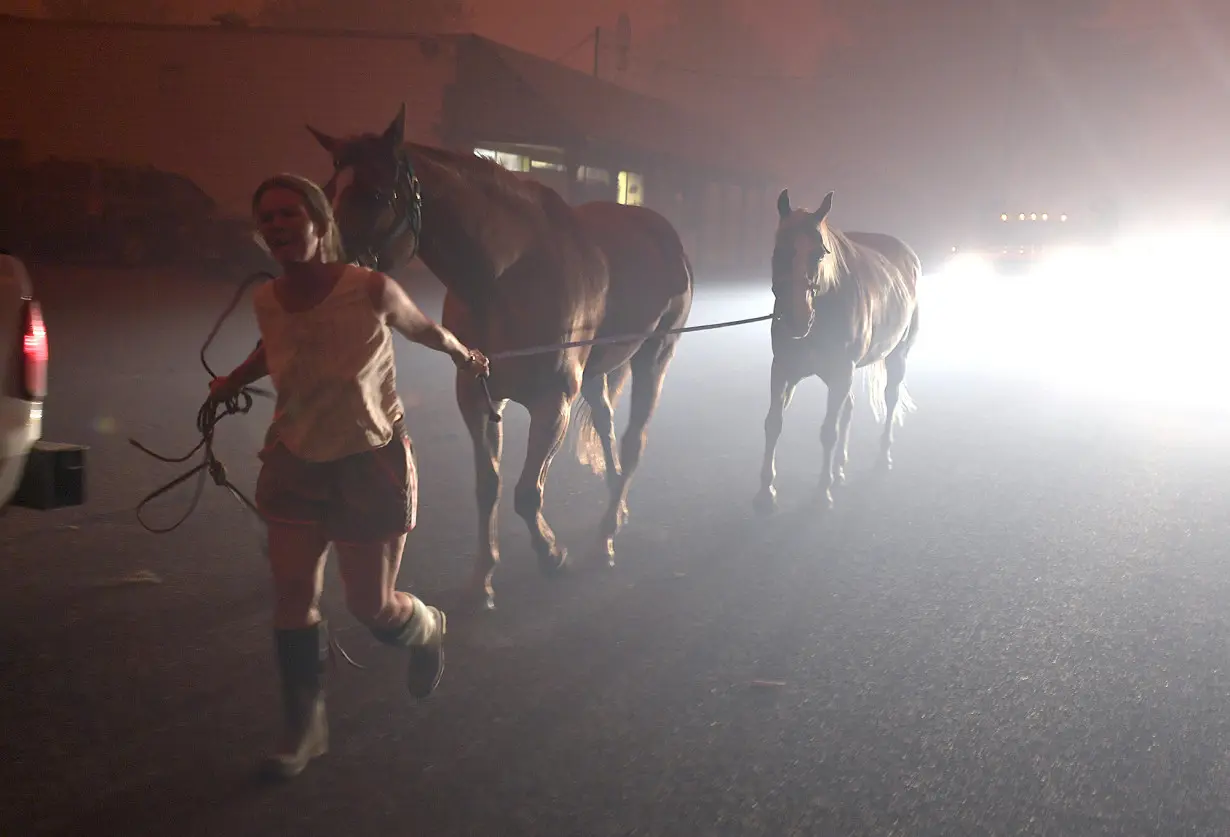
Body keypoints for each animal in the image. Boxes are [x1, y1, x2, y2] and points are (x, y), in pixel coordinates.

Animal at [307, 107, 693, 610]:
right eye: (329, 190)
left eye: (374, 194)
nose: (326, 278)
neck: (507, 277)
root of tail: (666, 234)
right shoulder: (478, 397)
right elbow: (487, 487)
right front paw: (482, 580)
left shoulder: (553, 404)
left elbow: (527, 494)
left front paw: (551, 555)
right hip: (597, 371)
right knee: (608, 427)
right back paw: (616, 506)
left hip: (655, 355)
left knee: (633, 441)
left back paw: (606, 535)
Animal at [752, 189, 920, 514]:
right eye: (779, 251)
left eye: (819, 253)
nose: (797, 319)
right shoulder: (783, 368)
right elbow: (773, 423)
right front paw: (766, 492)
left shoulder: (842, 371)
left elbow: (827, 431)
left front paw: (822, 493)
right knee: (849, 408)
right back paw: (840, 468)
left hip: (895, 357)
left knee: (889, 399)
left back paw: (883, 458)